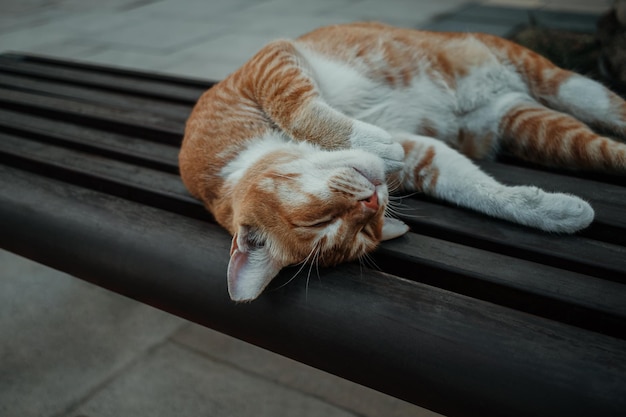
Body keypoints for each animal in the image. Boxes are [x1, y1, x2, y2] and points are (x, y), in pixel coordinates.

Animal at [179, 21, 624, 300]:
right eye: (364, 231)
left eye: (315, 221)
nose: (372, 200)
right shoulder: (423, 153)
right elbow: (478, 190)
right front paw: (554, 212)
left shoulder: (269, 63)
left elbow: (298, 107)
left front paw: (367, 137)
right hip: (533, 126)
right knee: (604, 150)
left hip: (552, 77)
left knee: (606, 104)